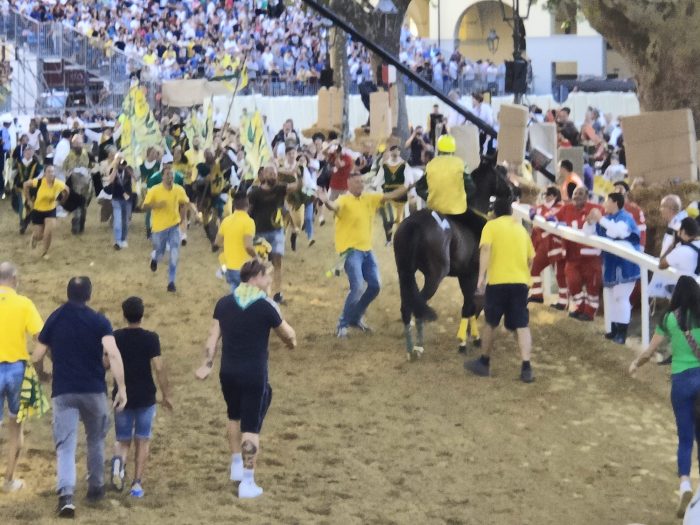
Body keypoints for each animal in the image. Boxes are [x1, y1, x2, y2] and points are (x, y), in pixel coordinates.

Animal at [394, 158, 516, 358]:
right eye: (503, 173)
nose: (515, 192)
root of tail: (415, 224)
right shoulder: (472, 275)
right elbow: (469, 306)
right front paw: (465, 342)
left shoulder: (464, 276)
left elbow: (470, 304)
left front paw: (471, 337)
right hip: (434, 277)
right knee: (419, 305)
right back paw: (418, 347)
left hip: (405, 273)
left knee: (407, 306)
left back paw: (410, 347)